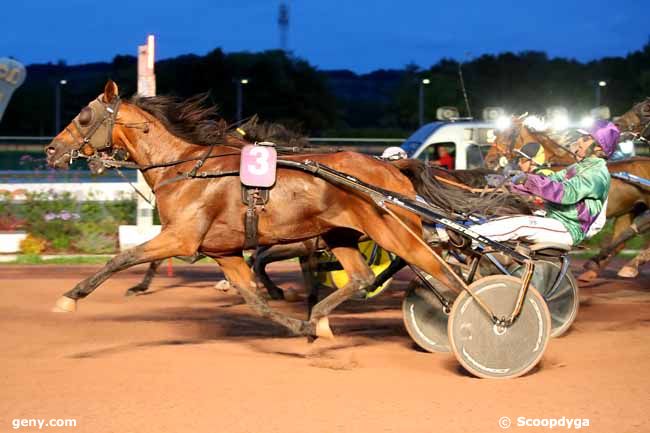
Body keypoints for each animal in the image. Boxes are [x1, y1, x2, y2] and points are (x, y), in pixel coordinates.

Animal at [45, 80, 506, 338]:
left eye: (83, 116)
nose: (51, 149)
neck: (186, 167)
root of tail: (392, 167)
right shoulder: (224, 252)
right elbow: (255, 299)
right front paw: (300, 323)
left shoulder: (181, 236)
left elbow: (122, 258)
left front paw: (70, 297)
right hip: (343, 234)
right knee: (361, 278)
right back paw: (321, 317)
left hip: (397, 234)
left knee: (445, 275)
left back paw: (487, 321)